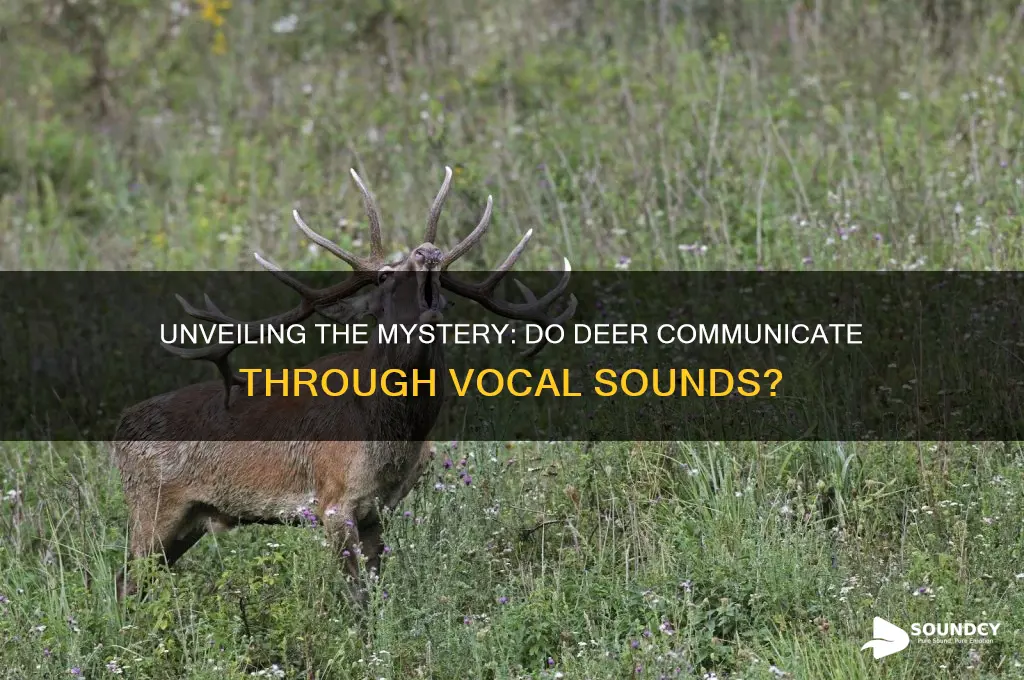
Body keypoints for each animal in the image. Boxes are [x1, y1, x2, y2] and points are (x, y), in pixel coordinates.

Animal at [112, 166, 577, 605]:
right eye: (386, 277)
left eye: (444, 279)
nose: (428, 252)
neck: (388, 434)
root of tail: (120, 430)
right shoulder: (333, 502)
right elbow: (357, 597)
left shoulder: (379, 509)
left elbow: (376, 590)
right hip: (153, 506)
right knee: (125, 581)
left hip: (188, 520)